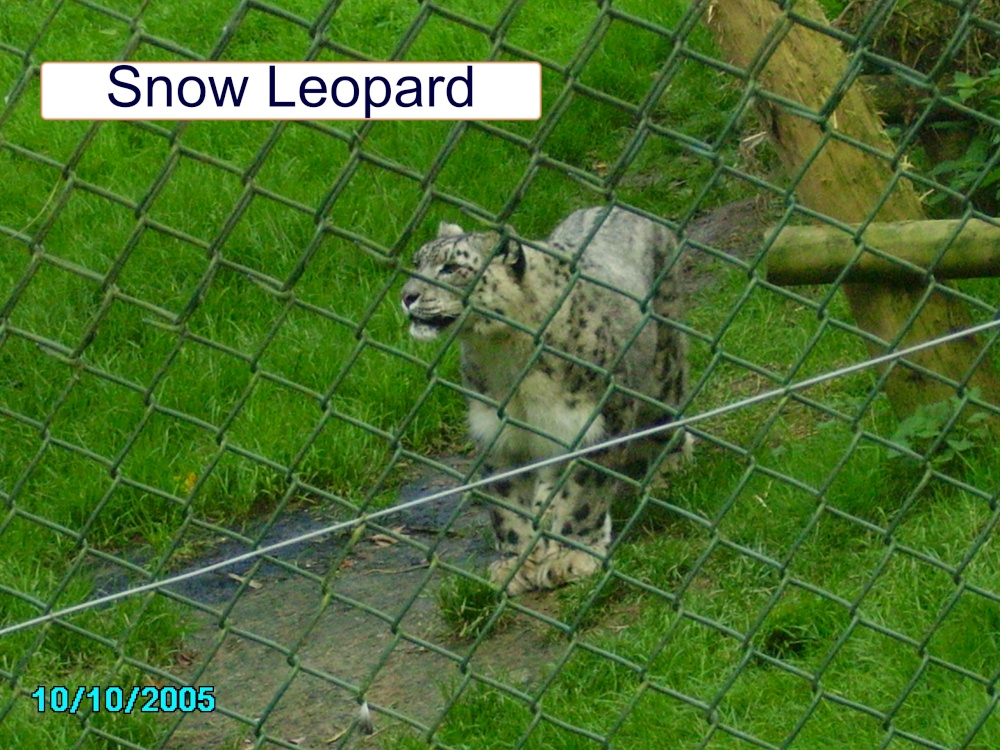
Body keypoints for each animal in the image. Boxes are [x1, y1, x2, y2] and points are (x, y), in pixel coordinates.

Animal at [400, 206, 689, 595]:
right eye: (417, 262)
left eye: (451, 267)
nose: (407, 296)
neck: (505, 355)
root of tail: (621, 208)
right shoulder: (497, 432)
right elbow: (507, 503)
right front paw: (515, 563)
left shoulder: (594, 422)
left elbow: (584, 495)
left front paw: (571, 557)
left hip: (662, 370)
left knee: (665, 419)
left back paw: (669, 472)